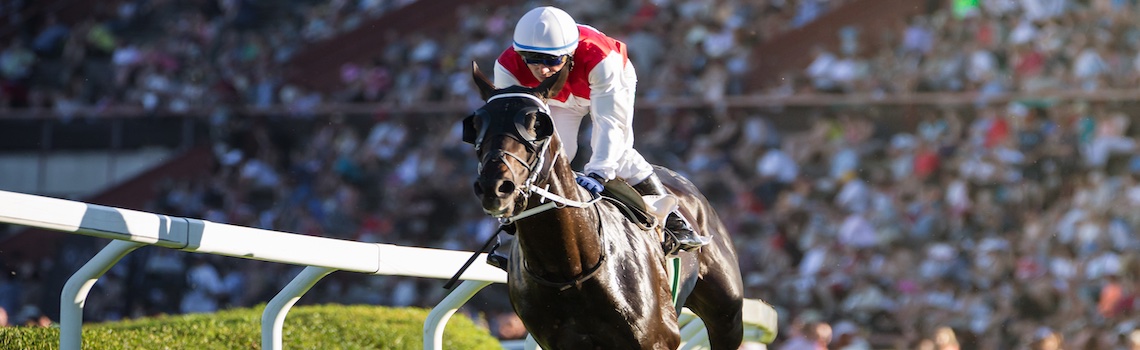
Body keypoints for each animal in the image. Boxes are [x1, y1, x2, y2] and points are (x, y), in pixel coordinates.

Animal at [462, 63, 747, 350]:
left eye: (537, 124)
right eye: (476, 124)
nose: (495, 186)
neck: (570, 268)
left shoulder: (657, 340)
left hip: (727, 316)